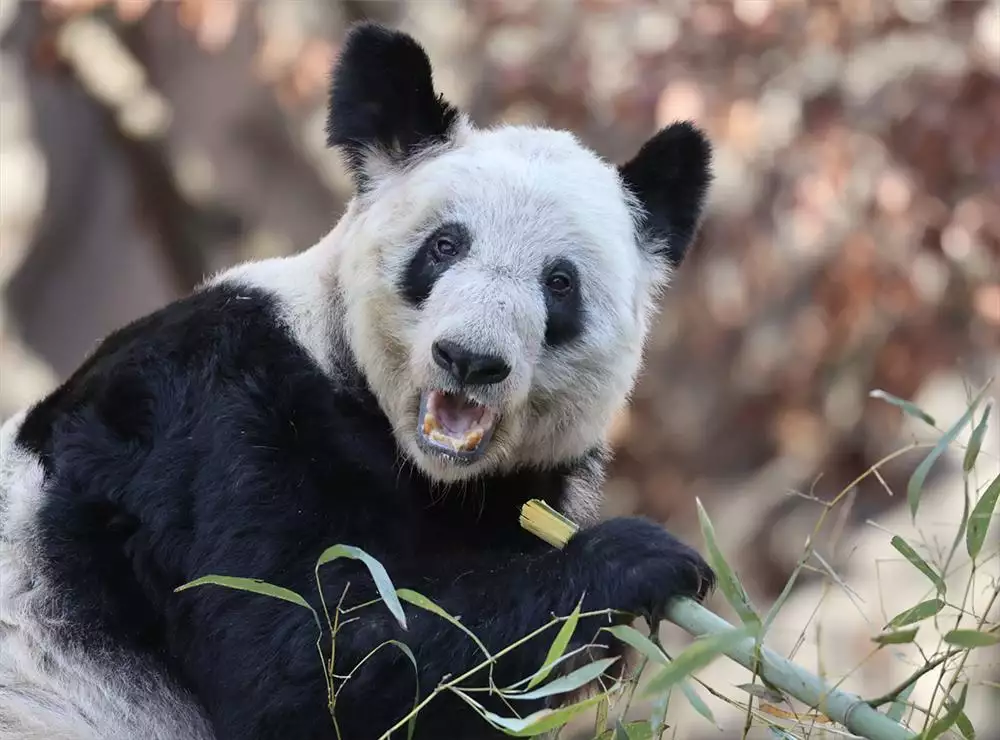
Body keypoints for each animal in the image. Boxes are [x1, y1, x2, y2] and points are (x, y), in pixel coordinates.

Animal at [0, 21, 720, 740]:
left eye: (560, 282)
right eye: (445, 246)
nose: (470, 359)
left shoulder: (510, 494)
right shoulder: (214, 414)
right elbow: (303, 664)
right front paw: (636, 561)